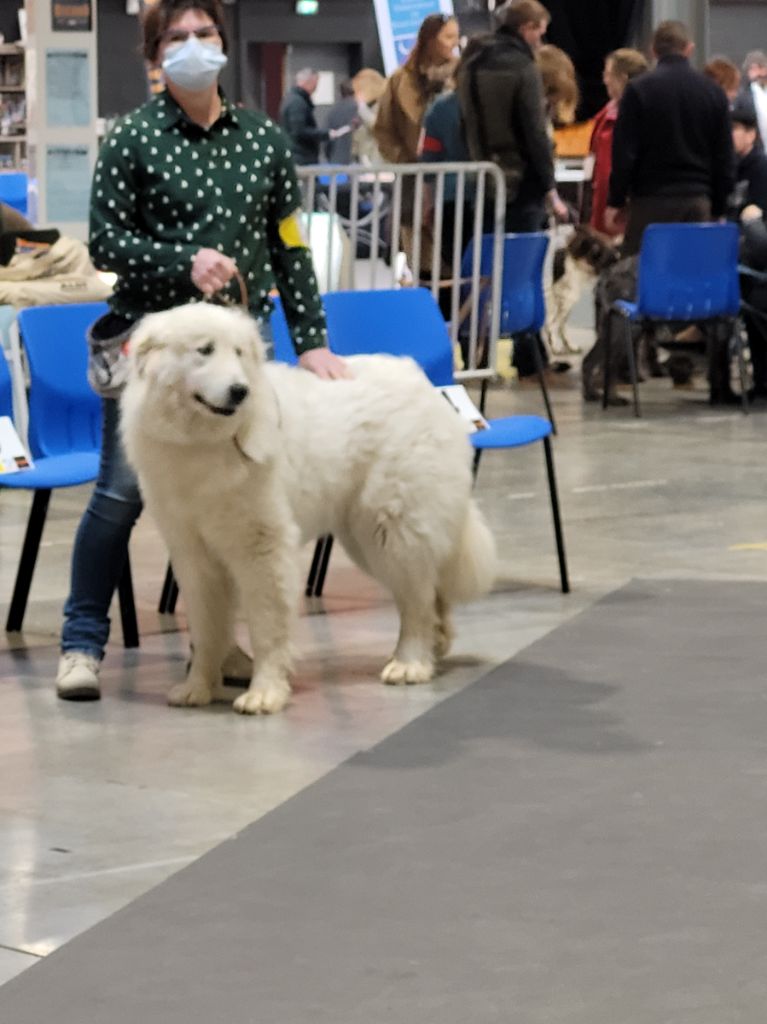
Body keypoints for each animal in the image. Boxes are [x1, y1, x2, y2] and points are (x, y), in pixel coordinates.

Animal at [118, 301, 491, 712]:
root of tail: (423, 383)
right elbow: (206, 629)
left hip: (391, 530)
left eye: (239, 353)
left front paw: (264, 693)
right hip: (365, 538)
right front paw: (197, 687)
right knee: (431, 590)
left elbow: (266, 625)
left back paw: (410, 663)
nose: (240, 391)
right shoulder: (193, 555)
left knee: (417, 601)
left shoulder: (262, 547)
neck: (201, 443)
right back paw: (434, 648)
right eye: (205, 350)